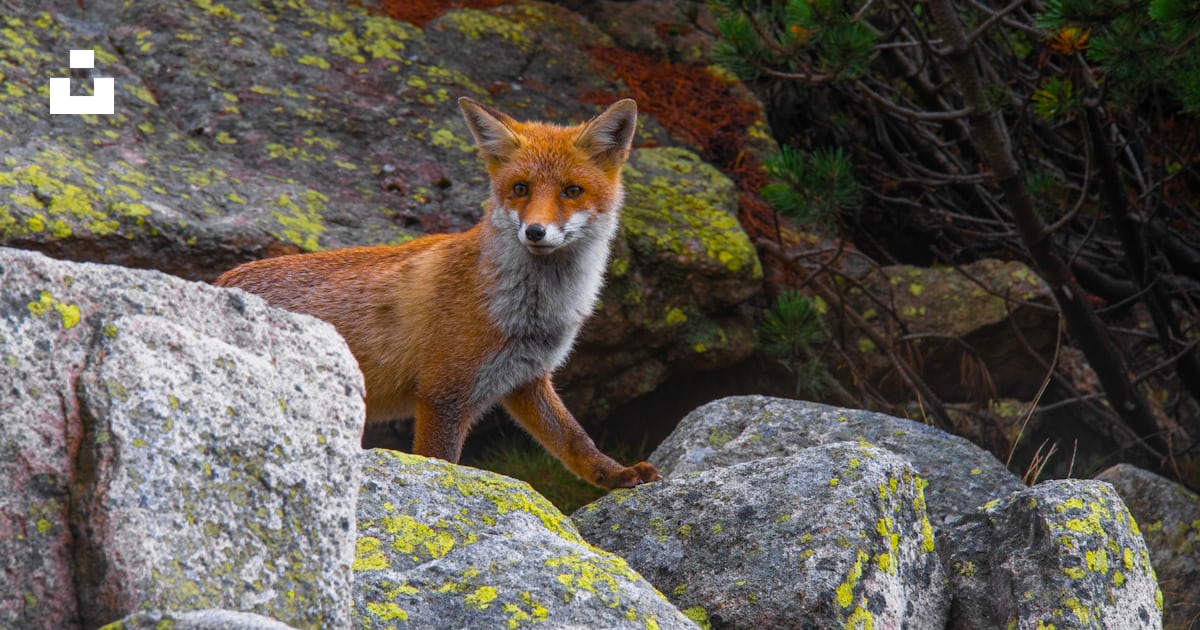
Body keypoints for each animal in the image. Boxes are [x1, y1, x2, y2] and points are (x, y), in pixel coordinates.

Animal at [215, 98, 661, 489]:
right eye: (520, 188)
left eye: (572, 191)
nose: (535, 231)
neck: (531, 313)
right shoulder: (442, 394)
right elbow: (440, 463)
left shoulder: (526, 378)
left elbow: (574, 439)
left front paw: (616, 475)